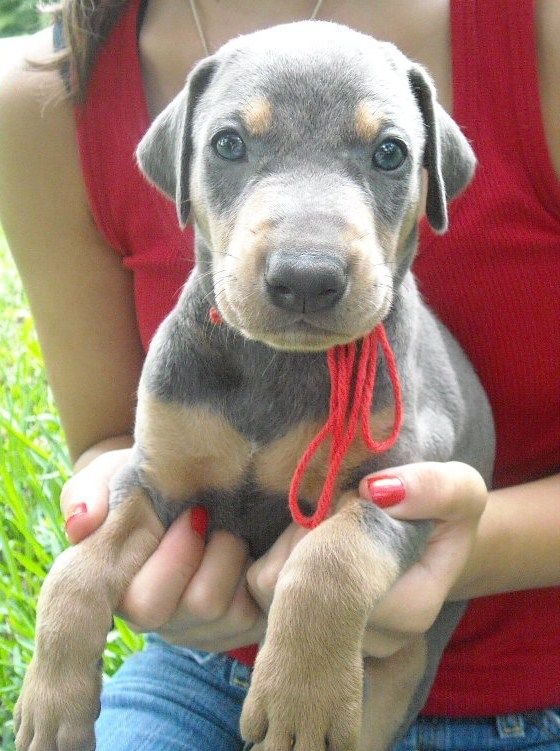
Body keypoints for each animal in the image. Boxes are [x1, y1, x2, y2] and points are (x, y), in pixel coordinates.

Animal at [14, 20, 494, 751]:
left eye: (390, 152)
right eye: (228, 143)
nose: (306, 277)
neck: (275, 364)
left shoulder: (404, 475)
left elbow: (327, 561)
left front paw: (299, 702)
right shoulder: (153, 477)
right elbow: (76, 568)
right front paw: (48, 703)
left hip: (404, 675)